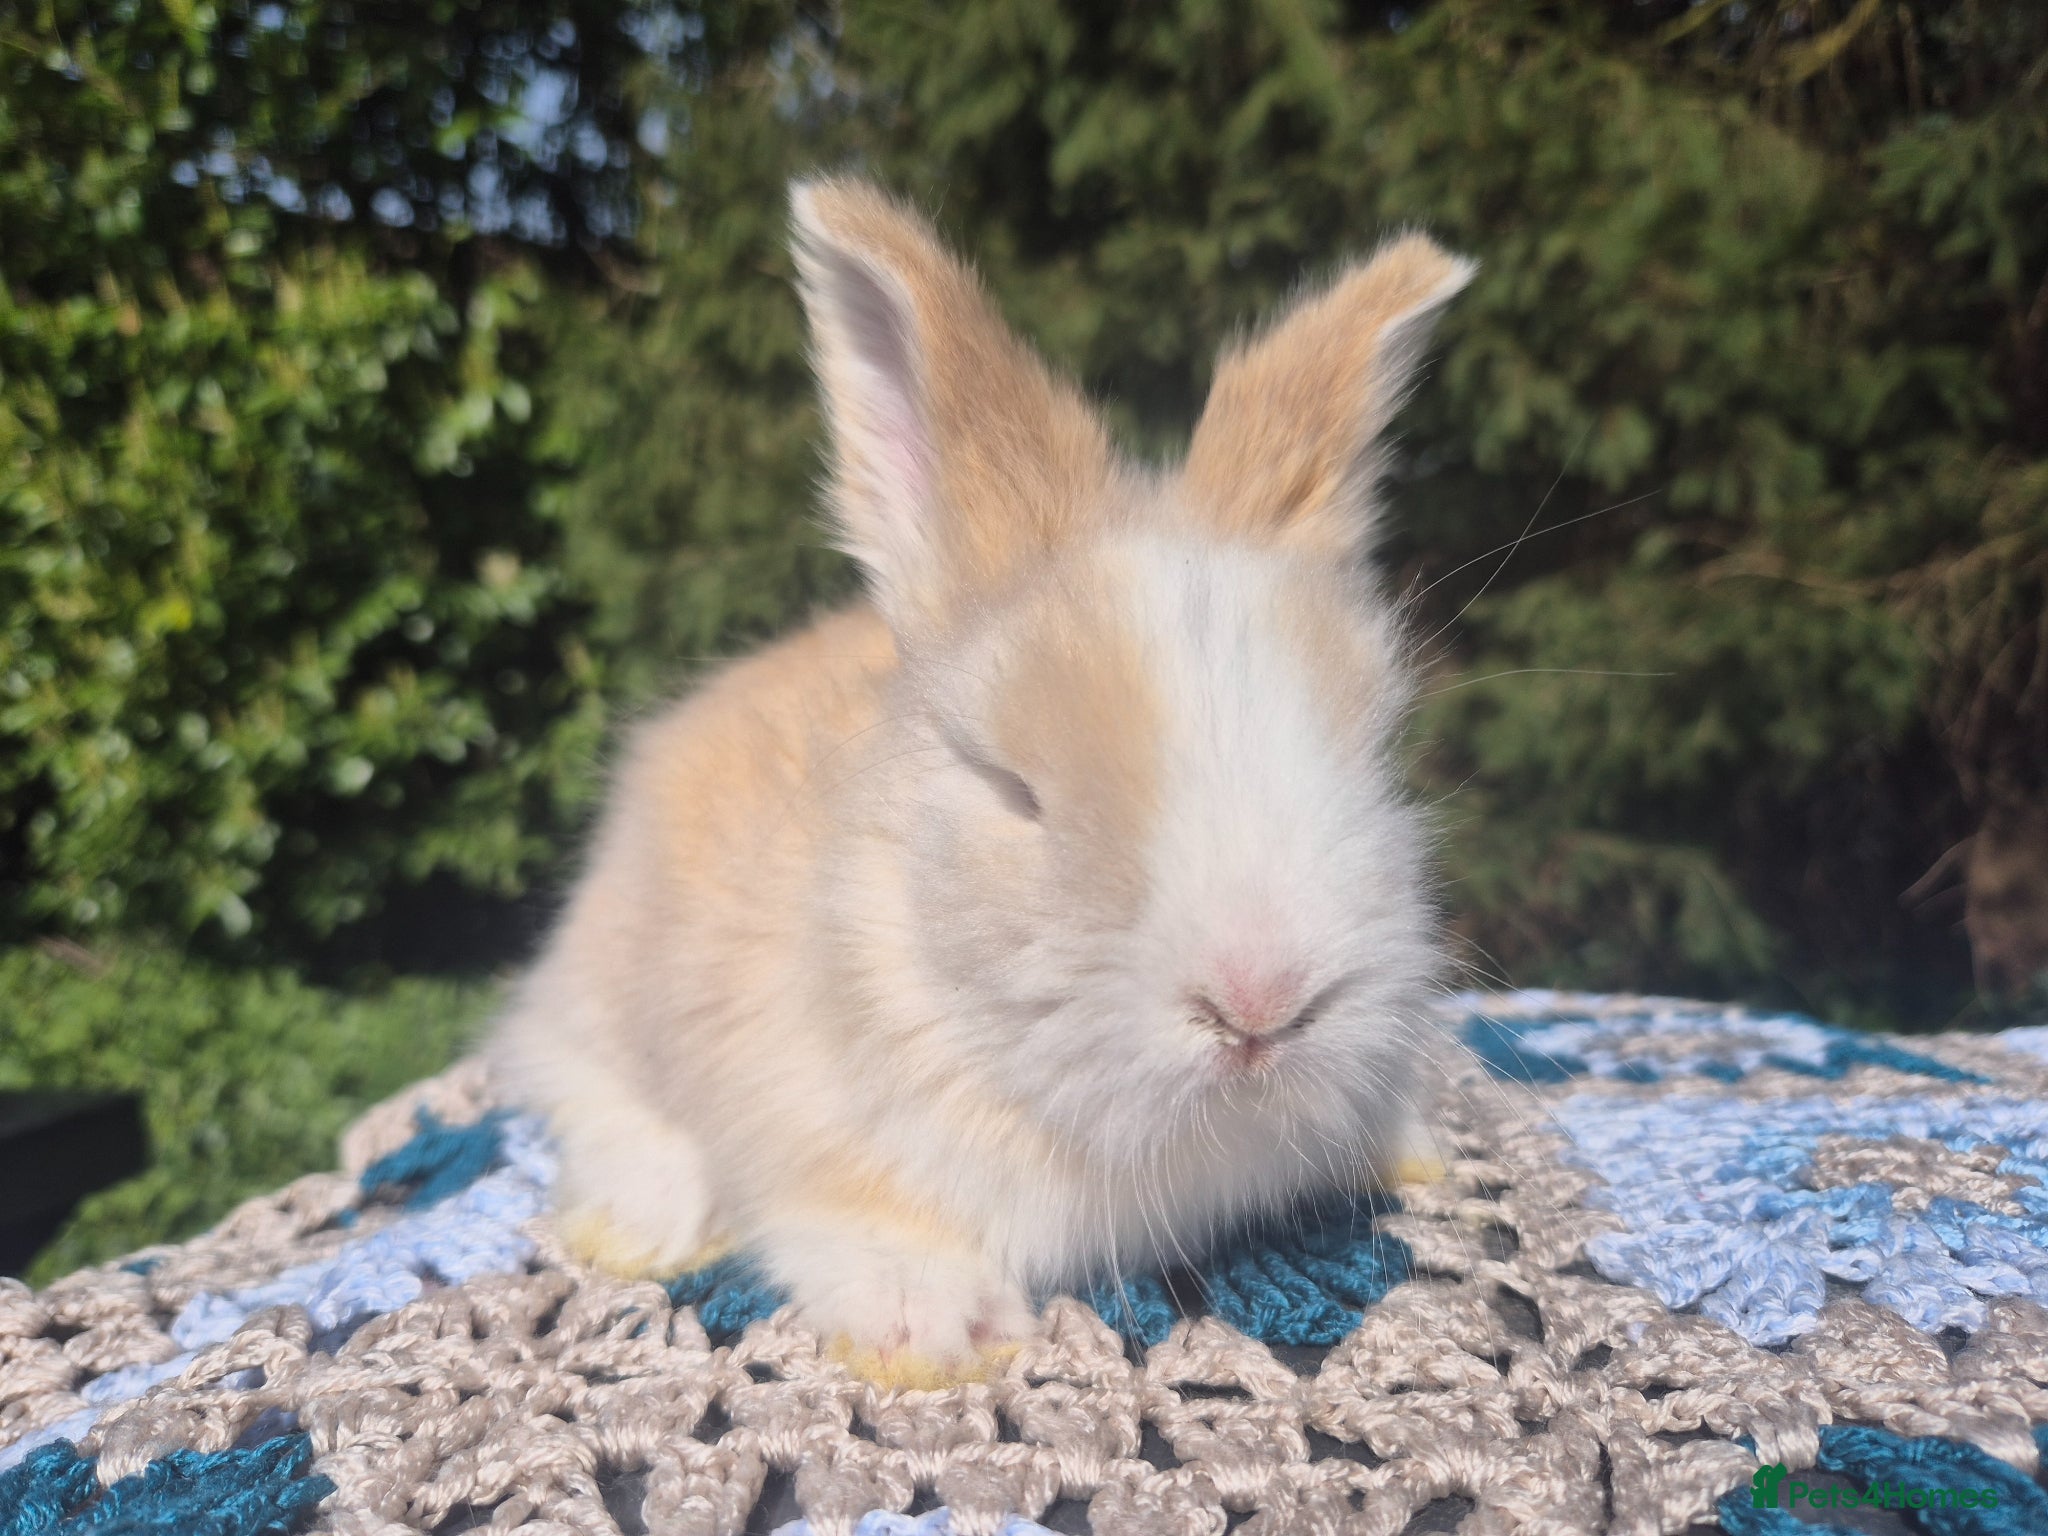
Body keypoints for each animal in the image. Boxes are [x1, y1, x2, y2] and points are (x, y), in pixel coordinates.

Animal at [490, 175, 1473, 1385]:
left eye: (1371, 751)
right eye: (1013, 789)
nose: (1260, 1004)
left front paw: (1408, 1147)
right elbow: (846, 1210)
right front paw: (939, 1328)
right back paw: (640, 1221)